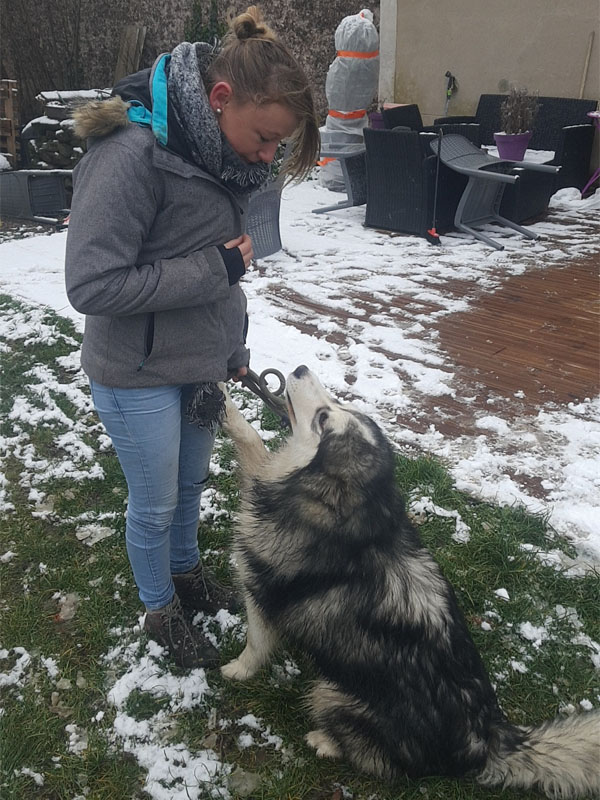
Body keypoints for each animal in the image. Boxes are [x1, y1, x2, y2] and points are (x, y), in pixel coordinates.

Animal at [220, 366, 600, 796]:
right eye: (336, 403)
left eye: (324, 417)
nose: (299, 370)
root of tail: (487, 738)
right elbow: (252, 440)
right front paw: (223, 401)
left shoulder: (258, 587)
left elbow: (256, 644)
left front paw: (237, 671)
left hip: (329, 693)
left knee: (385, 764)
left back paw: (325, 741)